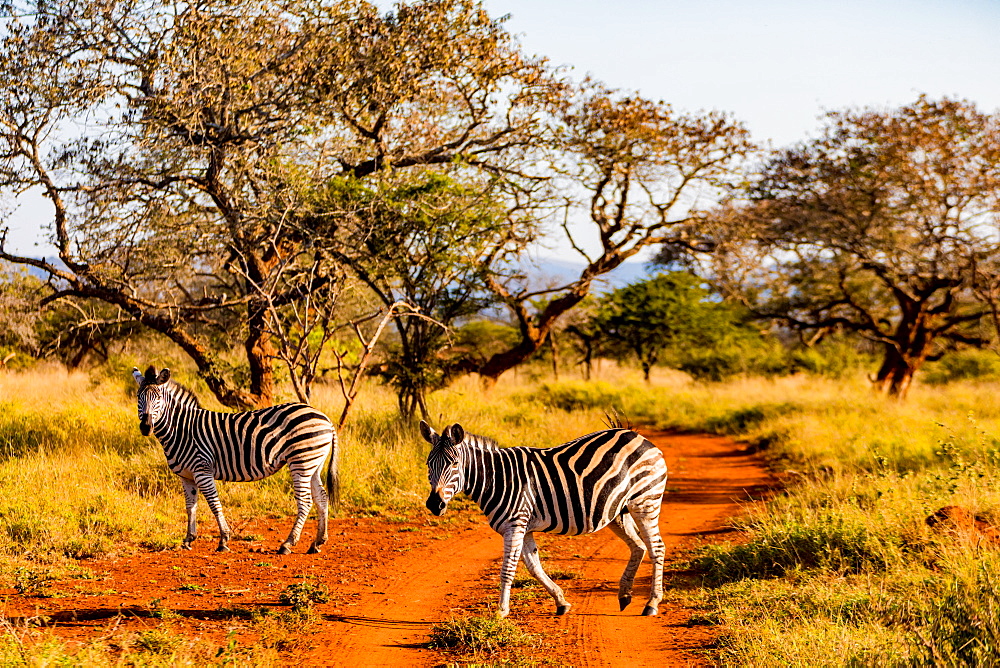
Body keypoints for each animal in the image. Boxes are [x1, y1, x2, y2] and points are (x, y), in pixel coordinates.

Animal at [132, 366, 340, 552]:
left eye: (158, 398)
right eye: (138, 397)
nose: (145, 427)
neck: (182, 429)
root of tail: (326, 419)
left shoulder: (202, 470)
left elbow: (214, 504)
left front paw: (224, 540)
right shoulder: (186, 476)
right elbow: (191, 506)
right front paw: (188, 539)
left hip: (301, 462)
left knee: (305, 501)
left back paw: (288, 544)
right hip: (313, 464)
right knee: (321, 497)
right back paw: (317, 542)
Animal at [418, 420, 668, 620]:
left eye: (454, 464)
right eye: (428, 465)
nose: (434, 504)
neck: (496, 479)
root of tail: (637, 436)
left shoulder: (516, 524)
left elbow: (508, 569)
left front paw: (501, 611)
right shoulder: (524, 527)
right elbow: (534, 566)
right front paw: (561, 602)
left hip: (645, 501)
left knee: (656, 548)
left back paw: (652, 604)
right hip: (617, 510)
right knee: (638, 546)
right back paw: (625, 595)